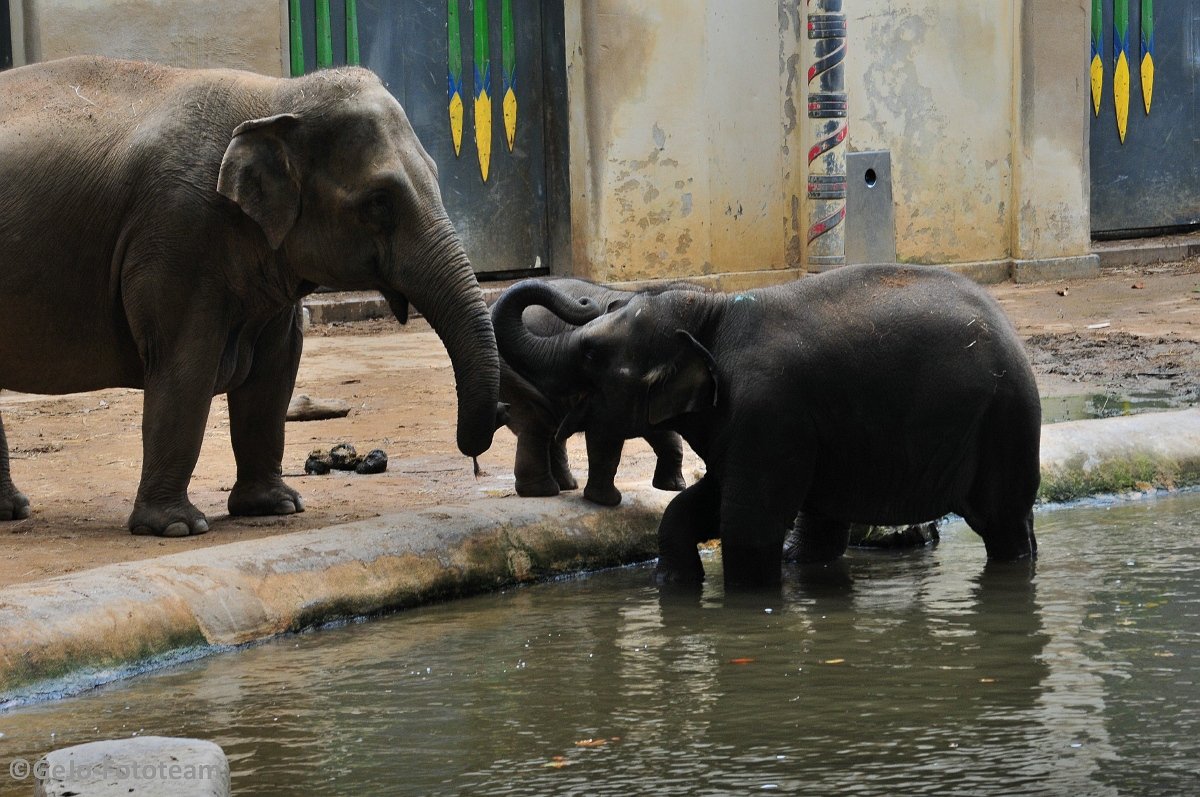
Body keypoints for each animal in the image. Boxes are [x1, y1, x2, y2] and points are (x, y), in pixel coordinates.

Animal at [0, 57, 496, 535]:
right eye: (378, 201)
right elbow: (186, 366)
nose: (474, 461)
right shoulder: (177, 234)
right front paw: (177, 527)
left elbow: (276, 369)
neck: (277, 95)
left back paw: (12, 511)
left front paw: (276, 508)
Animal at [492, 278, 691, 504]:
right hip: (508, 370)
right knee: (537, 422)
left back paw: (567, 485)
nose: (584, 301)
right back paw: (543, 491)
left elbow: (659, 428)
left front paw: (674, 487)